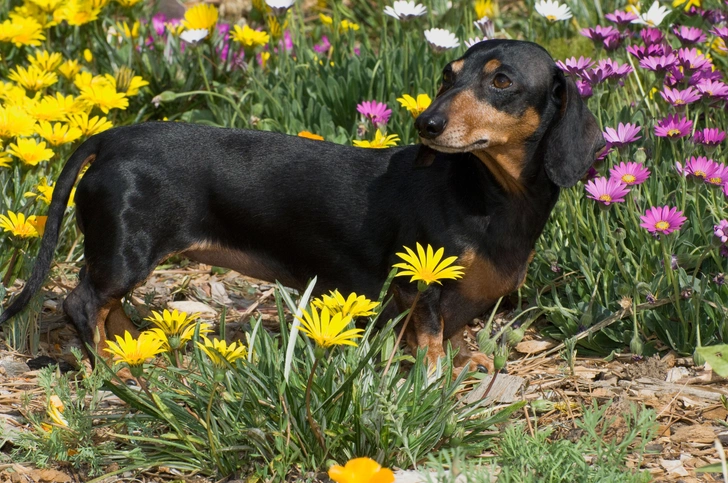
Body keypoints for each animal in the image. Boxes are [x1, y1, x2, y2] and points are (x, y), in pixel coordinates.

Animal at [0, 40, 604, 374]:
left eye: (501, 80)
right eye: (447, 76)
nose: (426, 125)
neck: (489, 195)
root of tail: (112, 137)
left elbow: (449, 336)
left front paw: (463, 362)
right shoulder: (424, 286)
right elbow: (431, 338)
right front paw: (435, 380)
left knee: (110, 310)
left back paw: (131, 351)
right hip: (127, 251)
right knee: (83, 304)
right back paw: (114, 370)